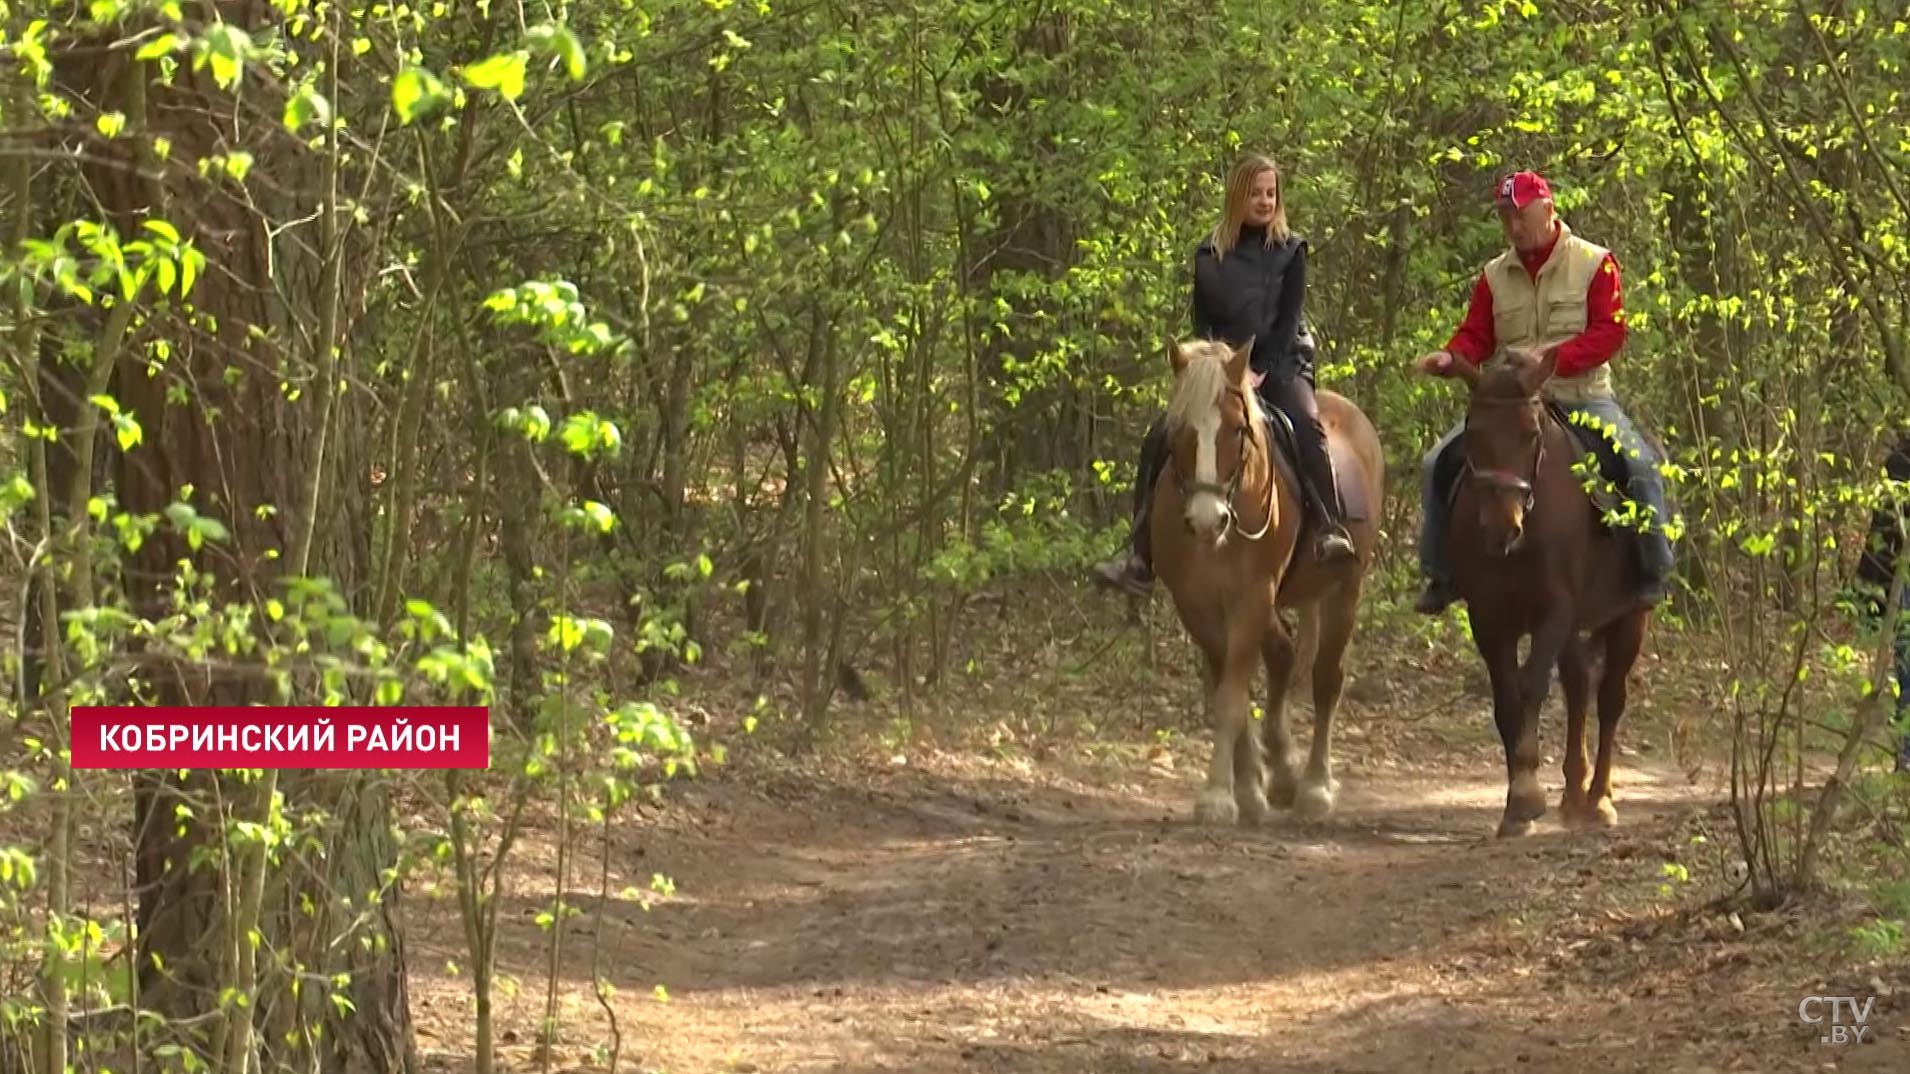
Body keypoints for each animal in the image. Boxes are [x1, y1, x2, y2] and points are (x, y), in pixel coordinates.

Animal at [1138, 338, 1382, 821]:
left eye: (1236, 430)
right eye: (1178, 430)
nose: (1207, 520)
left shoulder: (1252, 596)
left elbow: (1233, 698)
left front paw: (1219, 796)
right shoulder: (1197, 604)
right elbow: (1230, 691)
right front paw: (1249, 789)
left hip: (1344, 589)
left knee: (1326, 679)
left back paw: (1315, 788)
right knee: (1284, 655)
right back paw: (1283, 771)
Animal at [1436, 351, 1650, 837]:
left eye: (1531, 434)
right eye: (1473, 431)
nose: (1501, 528)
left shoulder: (1555, 612)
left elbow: (1532, 688)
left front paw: (1527, 796)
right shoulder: (1488, 618)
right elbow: (1506, 701)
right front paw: (1516, 804)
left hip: (1631, 617)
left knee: (1610, 699)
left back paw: (1599, 800)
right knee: (1578, 686)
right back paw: (1573, 797)